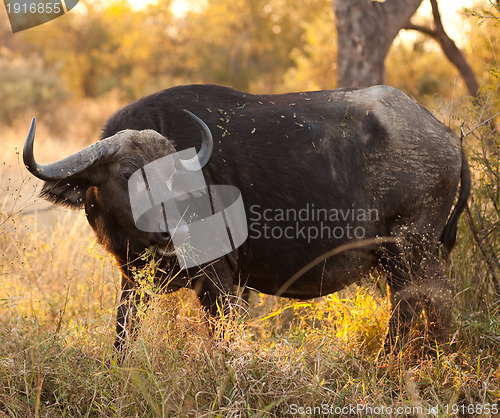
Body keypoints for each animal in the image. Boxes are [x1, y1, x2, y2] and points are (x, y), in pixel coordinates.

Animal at [22, 84, 468, 350]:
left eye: (175, 176)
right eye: (130, 175)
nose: (169, 230)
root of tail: (447, 135)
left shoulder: (218, 279)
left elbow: (222, 338)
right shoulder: (132, 281)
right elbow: (121, 336)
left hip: (412, 252)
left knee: (430, 305)